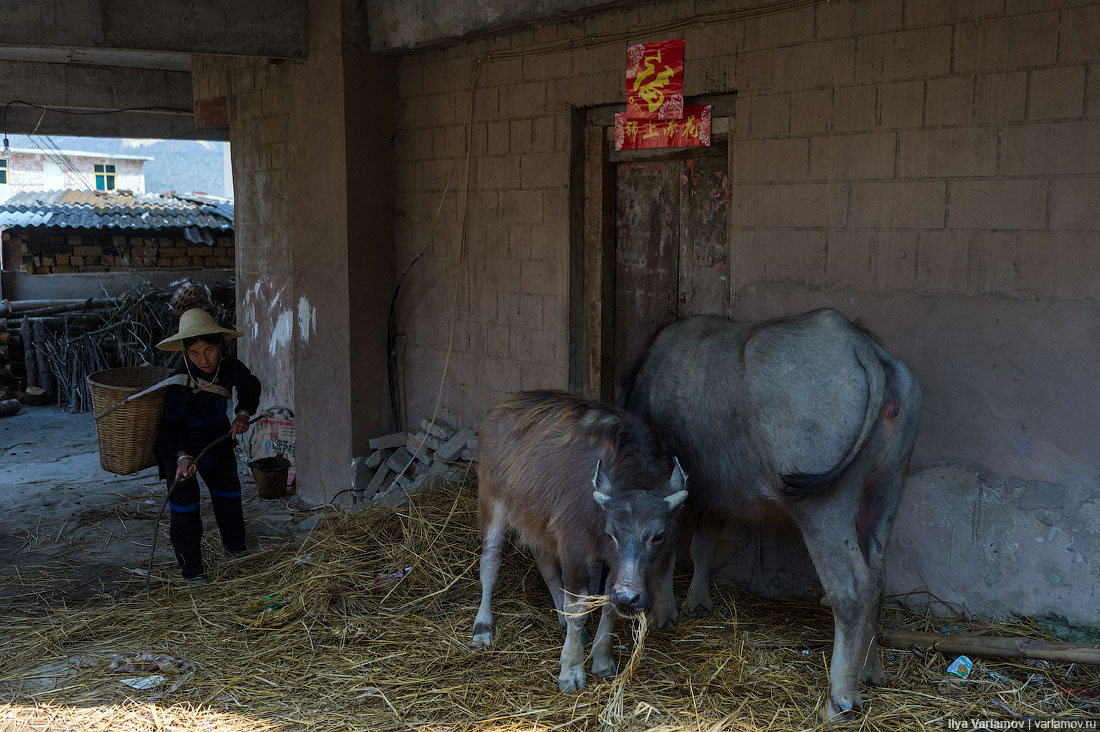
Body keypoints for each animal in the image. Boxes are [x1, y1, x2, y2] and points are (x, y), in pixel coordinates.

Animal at [473, 387, 686, 691]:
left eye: (658, 536)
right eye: (611, 534)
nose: (629, 598)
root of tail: (504, 405)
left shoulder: (613, 566)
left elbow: (608, 605)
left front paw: (602, 659)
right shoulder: (575, 549)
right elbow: (579, 606)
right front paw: (571, 670)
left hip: (540, 521)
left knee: (546, 564)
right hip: (492, 501)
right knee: (490, 562)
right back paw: (482, 627)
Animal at [620, 308, 919, 717]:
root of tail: (859, 344)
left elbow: (669, 550)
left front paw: (663, 614)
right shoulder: (717, 497)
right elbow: (702, 546)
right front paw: (697, 603)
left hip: (823, 507)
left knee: (852, 590)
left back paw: (839, 698)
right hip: (886, 489)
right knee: (877, 578)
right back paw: (870, 671)